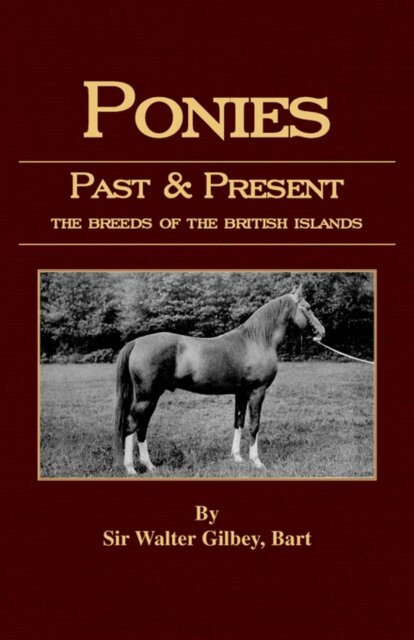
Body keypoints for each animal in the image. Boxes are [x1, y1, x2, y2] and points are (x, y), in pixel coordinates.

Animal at [114, 284, 325, 476]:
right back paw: (131, 468)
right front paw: (257, 462)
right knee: (131, 424)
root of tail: (136, 342)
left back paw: (149, 466)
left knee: (142, 427)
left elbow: (238, 422)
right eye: (307, 307)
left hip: (153, 397)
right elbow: (254, 425)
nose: (322, 332)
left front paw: (238, 458)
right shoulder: (257, 392)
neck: (257, 340)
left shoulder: (241, 393)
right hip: (146, 397)